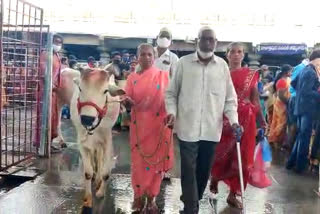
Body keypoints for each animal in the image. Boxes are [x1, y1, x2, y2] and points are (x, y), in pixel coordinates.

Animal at [70, 68, 125, 207]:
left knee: (99, 158)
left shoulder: (107, 140)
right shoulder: (82, 142)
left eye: (105, 91)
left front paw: (100, 192)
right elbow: (87, 173)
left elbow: (105, 173)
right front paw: (88, 196)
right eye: (80, 88)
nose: (87, 119)